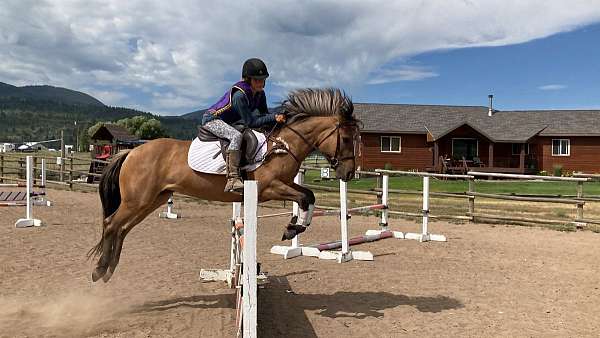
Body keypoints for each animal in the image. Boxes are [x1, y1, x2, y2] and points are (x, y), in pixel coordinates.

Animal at [88, 88, 360, 282]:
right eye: (346, 139)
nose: (348, 173)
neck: (283, 144)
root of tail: (130, 152)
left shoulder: (283, 184)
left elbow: (309, 196)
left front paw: (294, 227)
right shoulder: (268, 187)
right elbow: (305, 197)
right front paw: (292, 228)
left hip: (152, 200)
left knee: (122, 228)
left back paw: (110, 268)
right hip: (138, 200)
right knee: (111, 223)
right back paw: (100, 269)